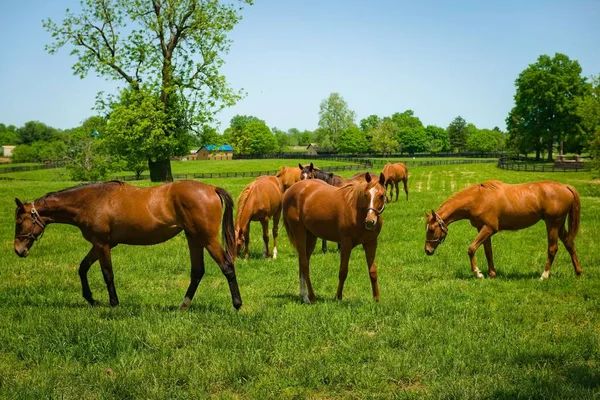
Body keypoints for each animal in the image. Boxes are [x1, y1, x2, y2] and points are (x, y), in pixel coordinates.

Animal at [12, 180, 241, 310]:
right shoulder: (99, 245)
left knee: (227, 267)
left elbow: (107, 274)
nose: (18, 250)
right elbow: (82, 268)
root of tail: (211, 188)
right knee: (197, 272)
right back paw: (183, 306)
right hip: (193, 238)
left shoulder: (102, 244)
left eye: (19, 222)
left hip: (207, 239)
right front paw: (90, 299)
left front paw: (114, 304)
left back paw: (237, 305)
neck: (90, 201)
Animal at [284, 172, 386, 304]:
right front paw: (338, 296)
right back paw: (311, 297)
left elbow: (373, 271)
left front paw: (376, 299)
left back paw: (304, 296)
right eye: (366, 194)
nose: (370, 221)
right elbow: (343, 271)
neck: (356, 209)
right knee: (305, 265)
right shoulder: (346, 243)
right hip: (299, 233)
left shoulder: (371, 243)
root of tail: (290, 190)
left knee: (302, 262)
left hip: (311, 236)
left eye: (381, 196)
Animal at [424, 180, 584, 280]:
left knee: (553, 248)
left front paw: (478, 273)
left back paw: (544, 275)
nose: (427, 250)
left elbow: (471, 249)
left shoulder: (489, 229)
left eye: (431, 229)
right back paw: (578, 272)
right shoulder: (483, 230)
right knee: (569, 244)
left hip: (552, 224)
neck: (478, 199)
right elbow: (488, 252)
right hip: (559, 225)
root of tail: (565, 186)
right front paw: (492, 274)